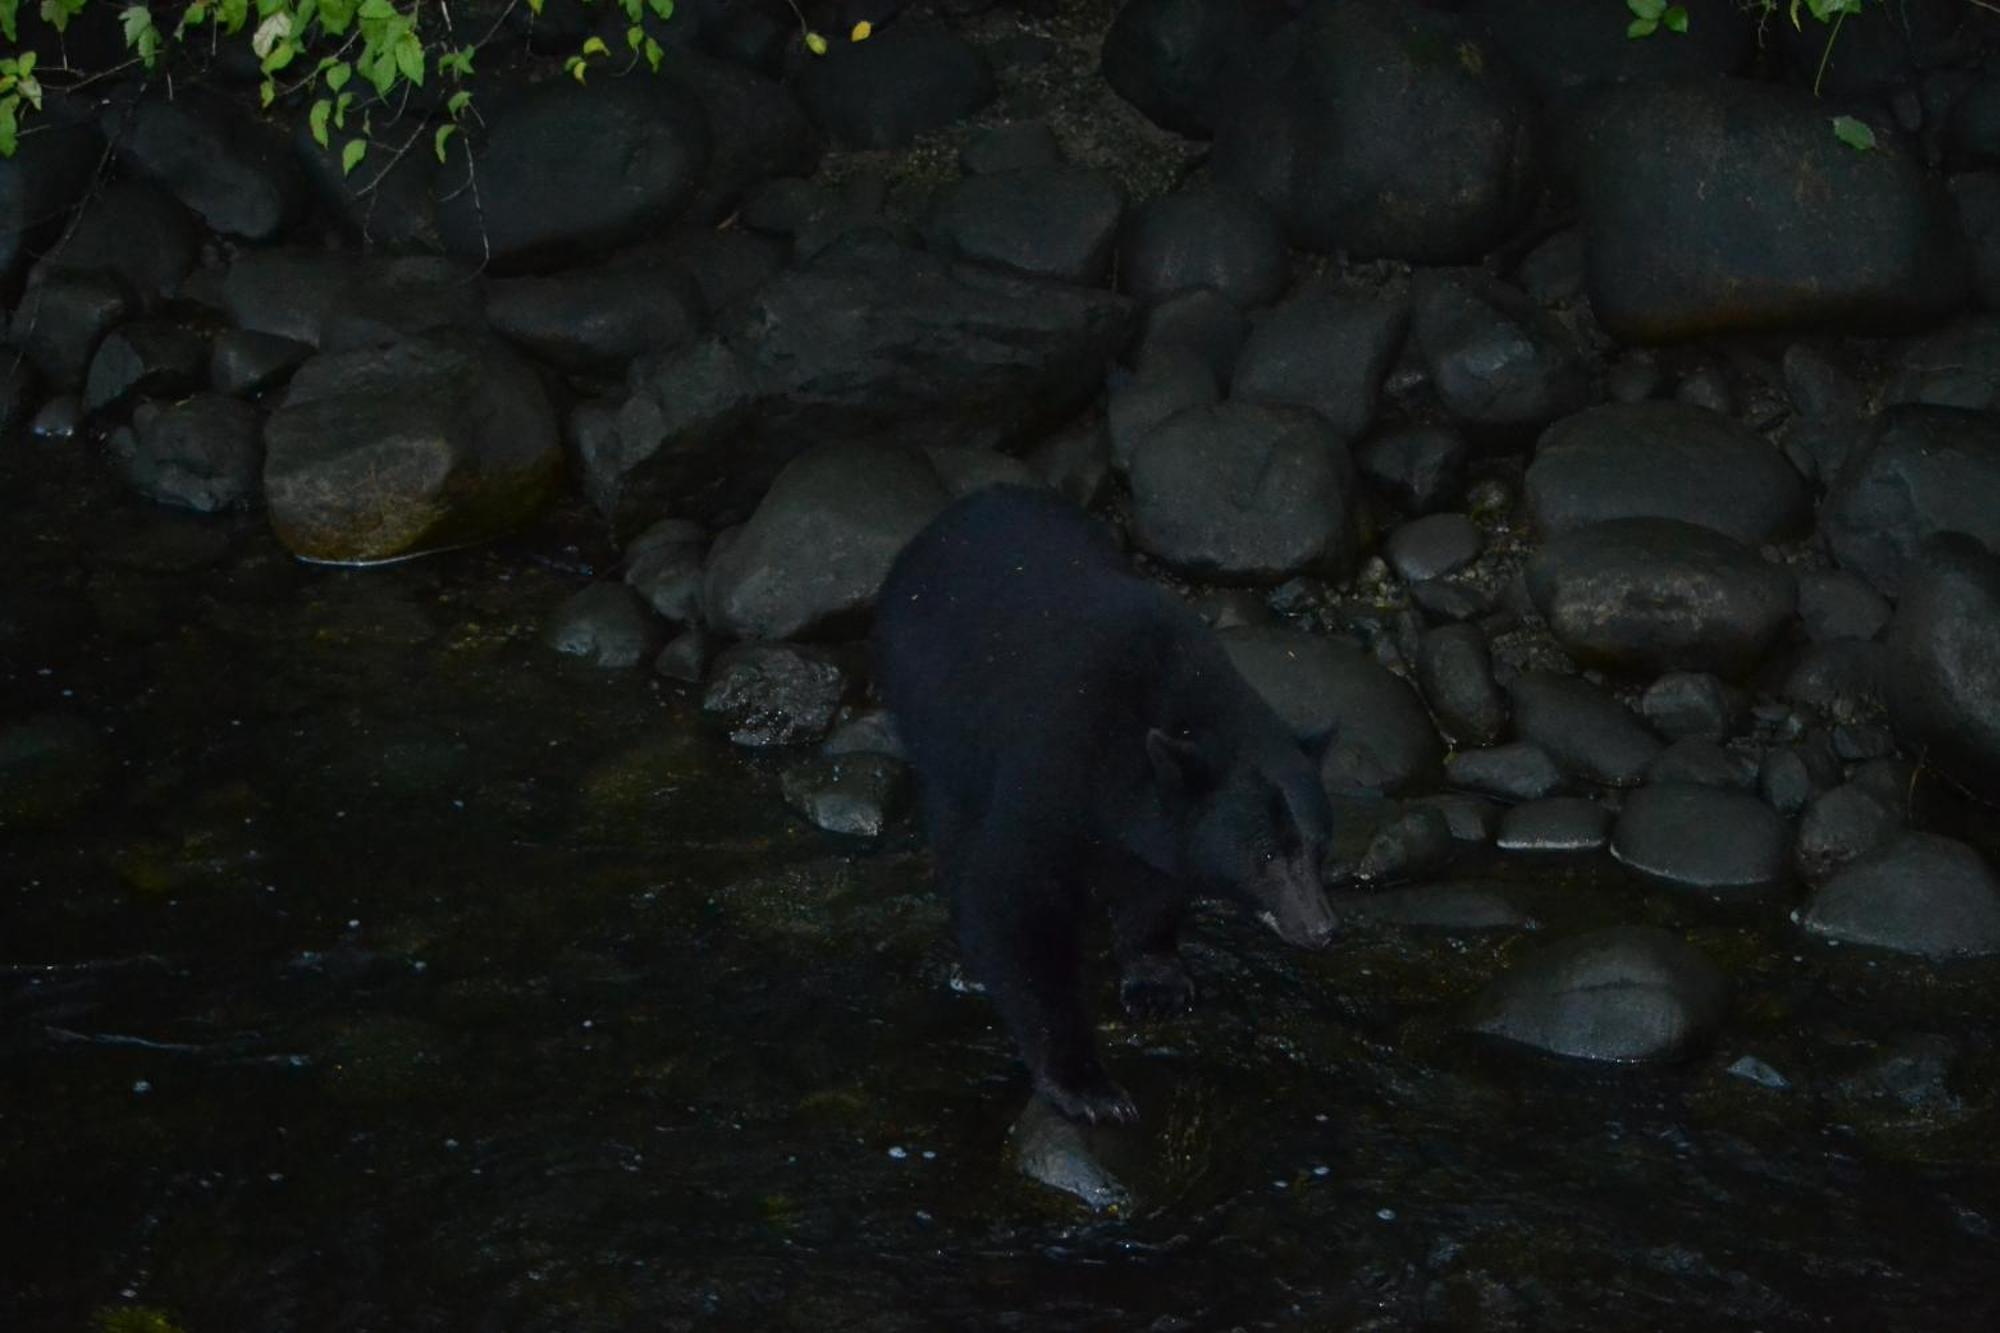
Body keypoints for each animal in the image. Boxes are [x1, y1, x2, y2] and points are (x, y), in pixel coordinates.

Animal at [872, 482, 1328, 1112]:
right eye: (1267, 855)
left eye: (1318, 847)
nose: (1320, 928)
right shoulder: (1055, 755)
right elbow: (1014, 896)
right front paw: (1084, 1082)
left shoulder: (1157, 820)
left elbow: (1154, 884)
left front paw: (1157, 978)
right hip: (932, 714)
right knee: (955, 827)